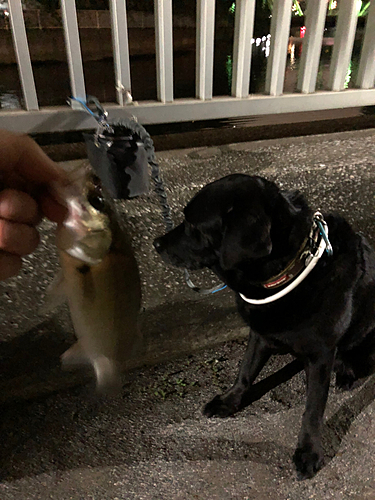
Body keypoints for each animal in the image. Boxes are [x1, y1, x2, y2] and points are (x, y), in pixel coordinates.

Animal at [154, 174, 375, 478]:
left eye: (191, 225)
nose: (156, 243)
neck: (286, 271)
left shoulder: (320, 355)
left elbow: (312, 409)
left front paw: (309, 451)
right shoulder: (260, 334)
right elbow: (245, 371)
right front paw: (229, 400)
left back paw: (347, 373)